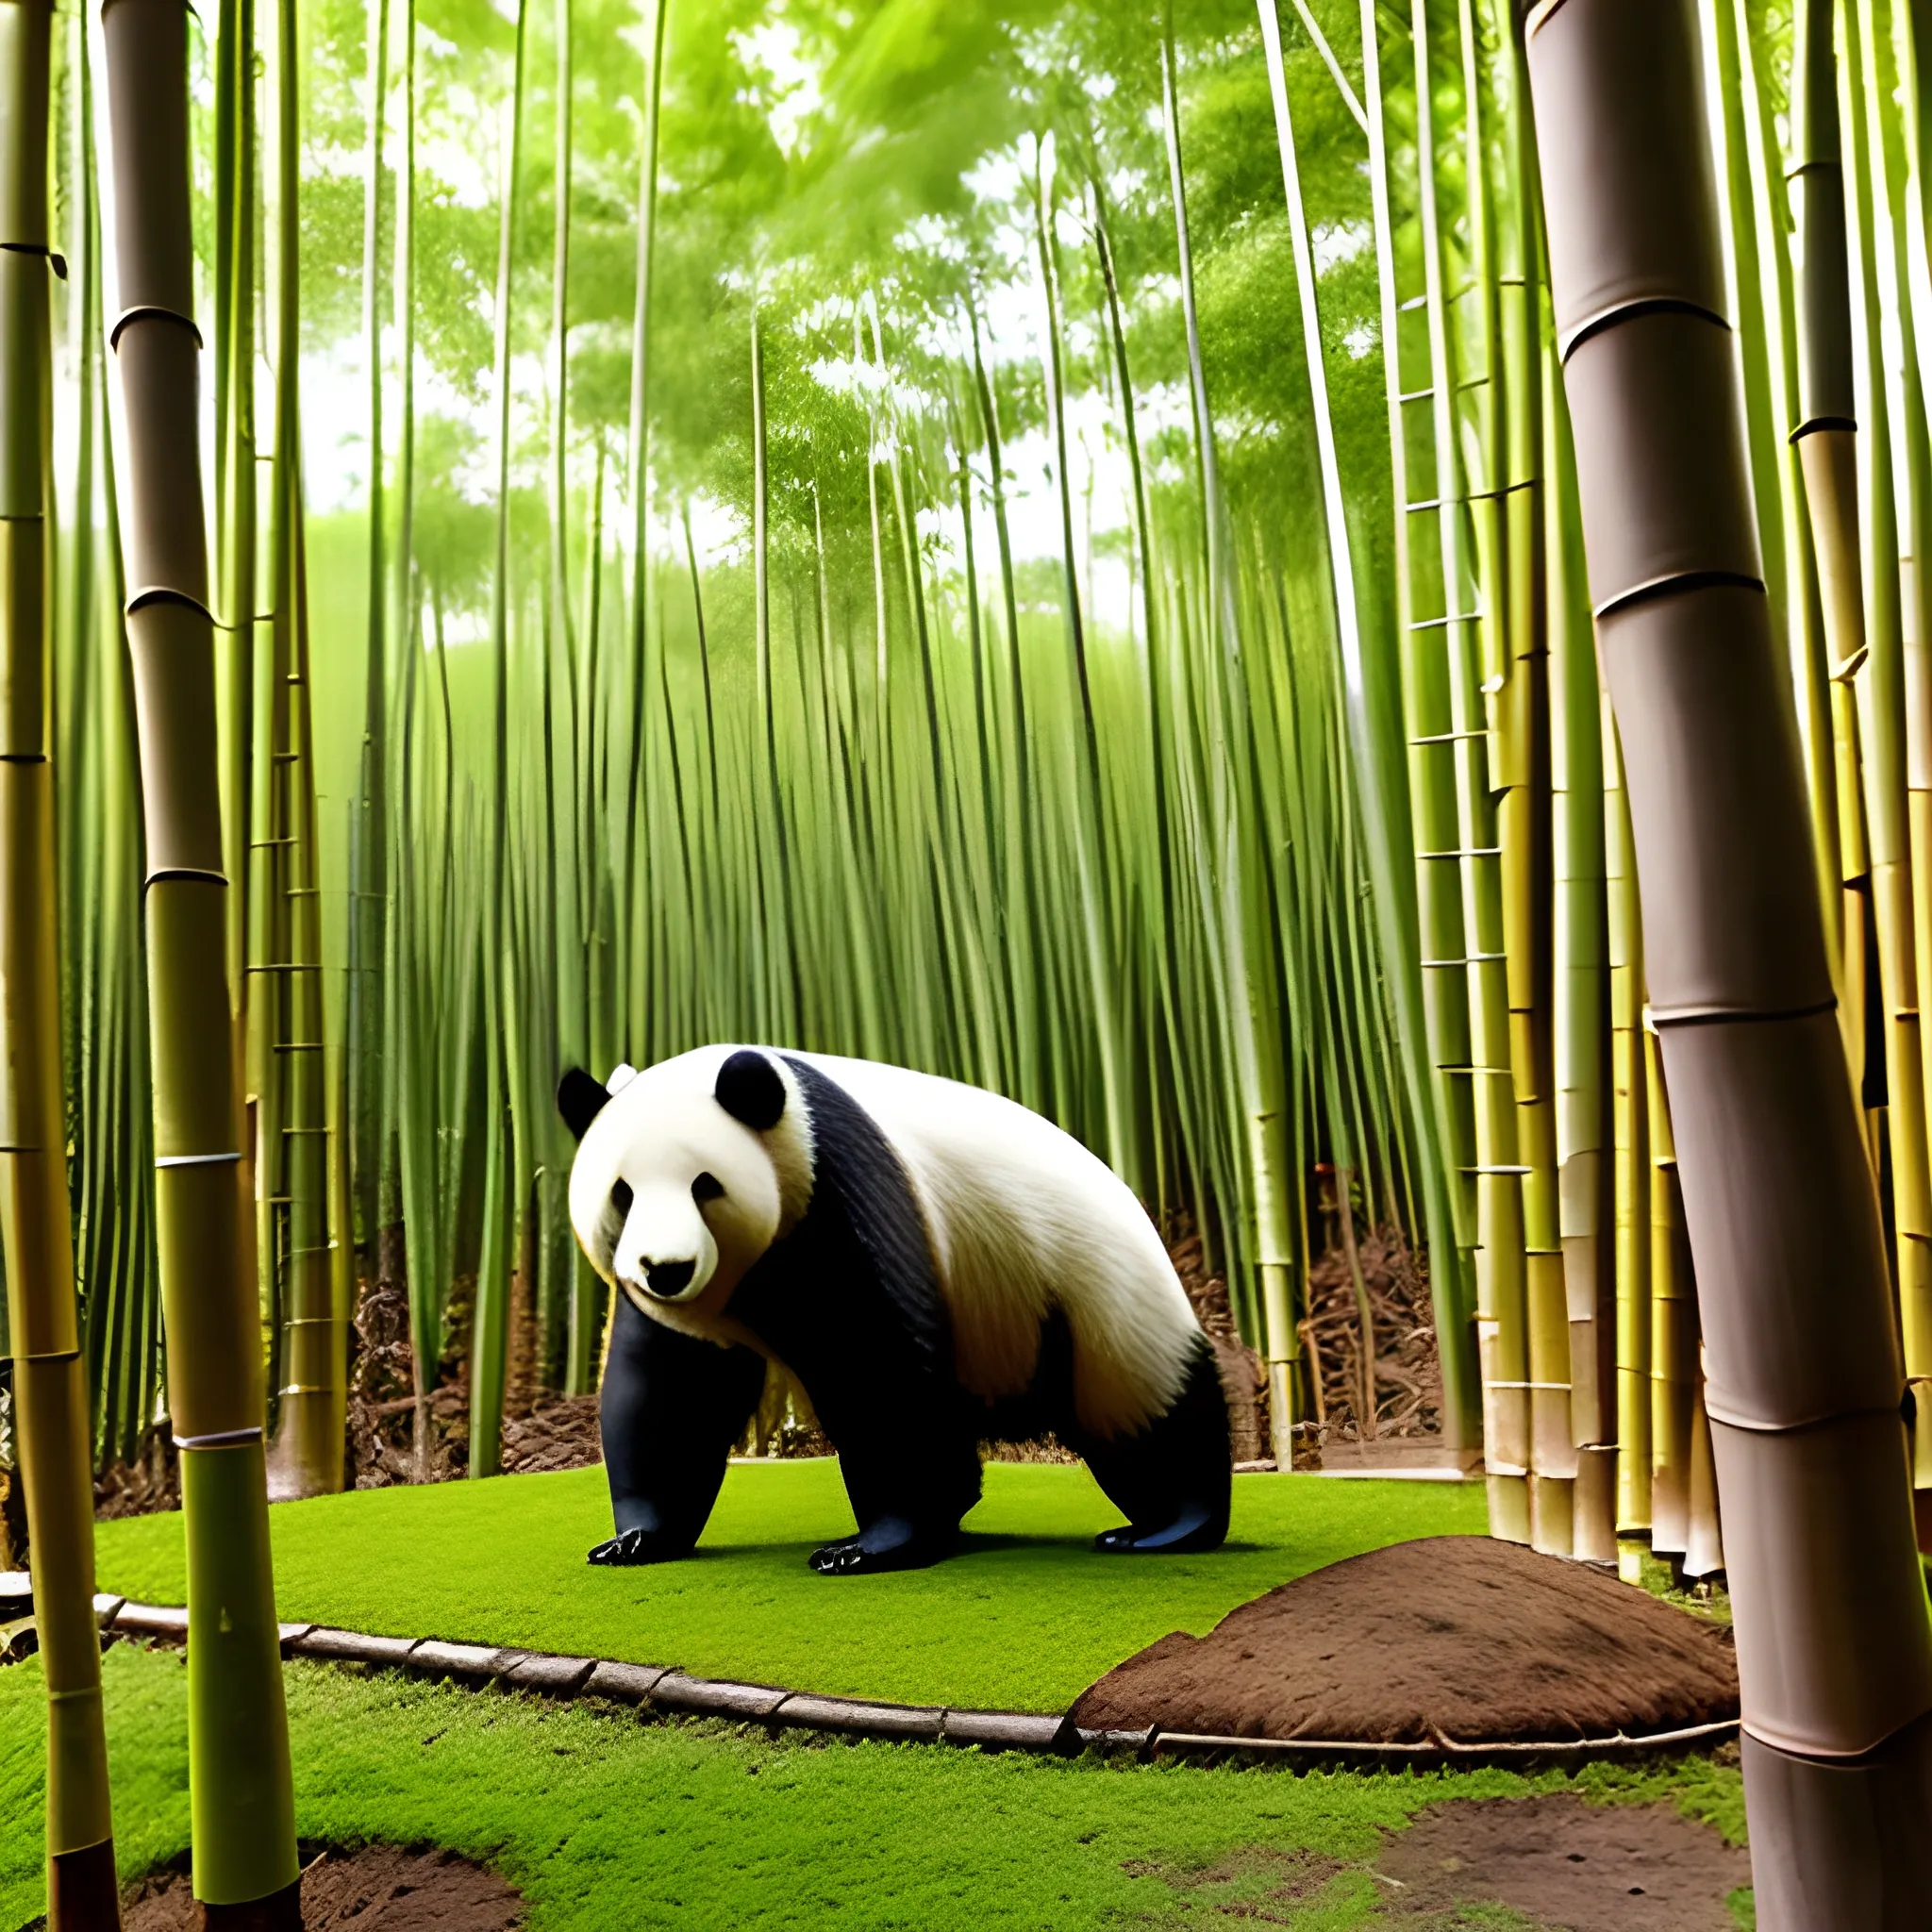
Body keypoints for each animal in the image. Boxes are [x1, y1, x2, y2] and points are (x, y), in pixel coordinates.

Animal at [559, 1051, 1228, 1576]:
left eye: (706, 1185)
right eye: (622, 1193)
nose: (666, 1269)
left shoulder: (838, 1192)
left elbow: (874, 1368)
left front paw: (870, 1547)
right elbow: (670, 1392)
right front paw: (636, 1539)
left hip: (1094, 1293)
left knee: (1145, 1413)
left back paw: (1167, 1527)